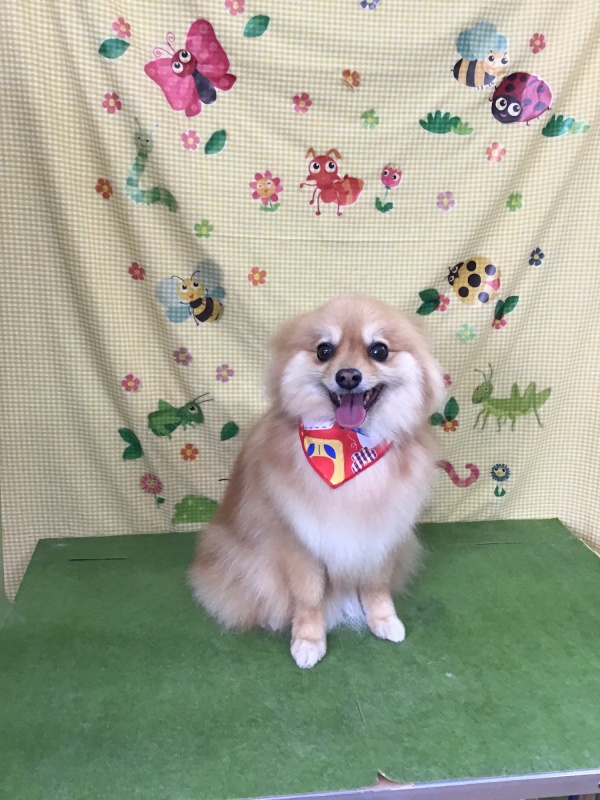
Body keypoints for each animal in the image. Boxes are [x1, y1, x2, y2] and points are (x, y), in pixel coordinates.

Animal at [188, 295, 445, 668]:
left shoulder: (382, 530)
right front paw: (309, 639)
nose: (348, 375)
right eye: (324, 350)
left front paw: (384, 619)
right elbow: (308, 596)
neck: (349, 448)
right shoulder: (300, 538)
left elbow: (376, 584)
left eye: (379, 350)